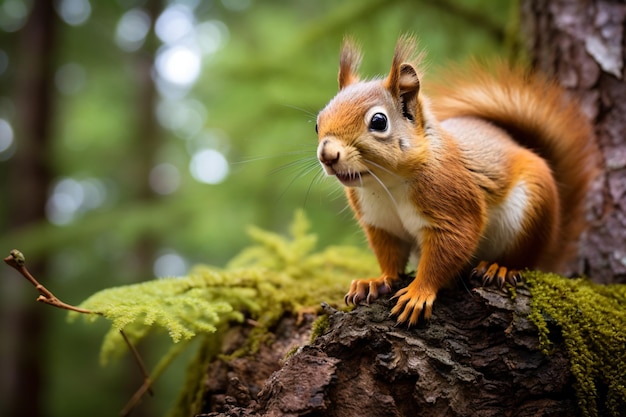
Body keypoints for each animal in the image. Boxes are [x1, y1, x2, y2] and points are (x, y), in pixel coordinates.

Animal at [316, 35, 596, 324]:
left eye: (379, 121)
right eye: (318, 122)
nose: (327, 155)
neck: (388, 185)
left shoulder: (452, 203)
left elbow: (449, 249)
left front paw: (418, 292)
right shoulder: (382, 224)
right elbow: (390, 257)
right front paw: (377, 281)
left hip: (532, 211)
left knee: (524, 258)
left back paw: (500, 268)